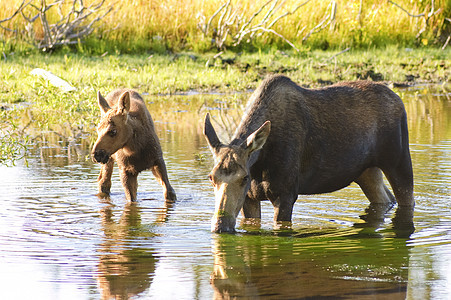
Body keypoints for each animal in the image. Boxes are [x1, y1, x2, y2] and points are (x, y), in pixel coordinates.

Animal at [207, 75, 414, 234]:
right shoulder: (250, 198)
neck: (259, 164)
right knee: (385, 198)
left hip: (399, 161)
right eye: (211, 177)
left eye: (244, 178)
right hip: (366, 171)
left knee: (406, 200)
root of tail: (400, 101)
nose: (220, 226)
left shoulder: (286, 195)